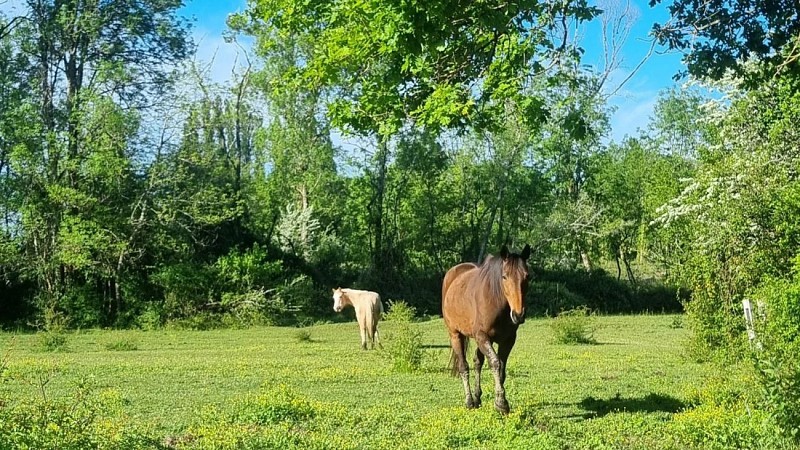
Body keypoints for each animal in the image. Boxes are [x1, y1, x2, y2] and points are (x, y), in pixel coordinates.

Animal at [444, 246, 532, 414]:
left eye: (527, 276)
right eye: (504, 276)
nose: (518, 315)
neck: (495, 301)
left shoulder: (508, 340)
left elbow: (501, 368)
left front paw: (500, 401)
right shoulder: (483, 336)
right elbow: (495, 363)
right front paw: (501, 403)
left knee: (477, 362)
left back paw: (477, 398)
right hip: (455, 335)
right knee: (464, 366)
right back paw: (469, 401)